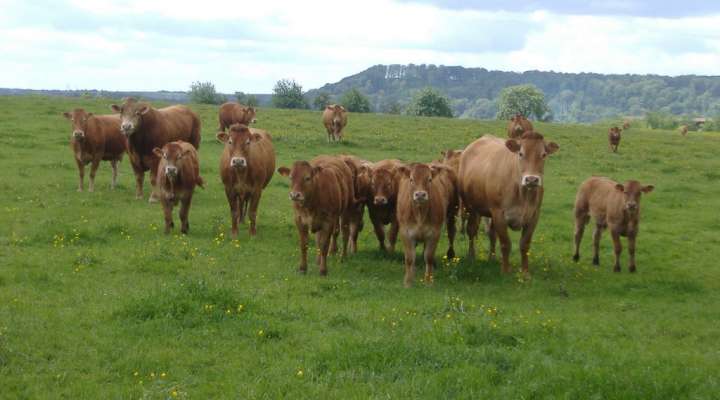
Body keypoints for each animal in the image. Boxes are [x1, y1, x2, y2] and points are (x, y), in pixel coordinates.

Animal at [458, 133, 560, 274]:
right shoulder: (499, 214)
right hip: (471, 207)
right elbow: (505, 243)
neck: (523, 195)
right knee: (472, 230)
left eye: (543, 154)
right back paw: (471, 256)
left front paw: (525, 272)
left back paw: (492, 258)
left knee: (492, 234)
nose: (531, 179)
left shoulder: (534, 216)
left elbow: (525, 244)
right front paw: (506, 270)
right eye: (521, 153)